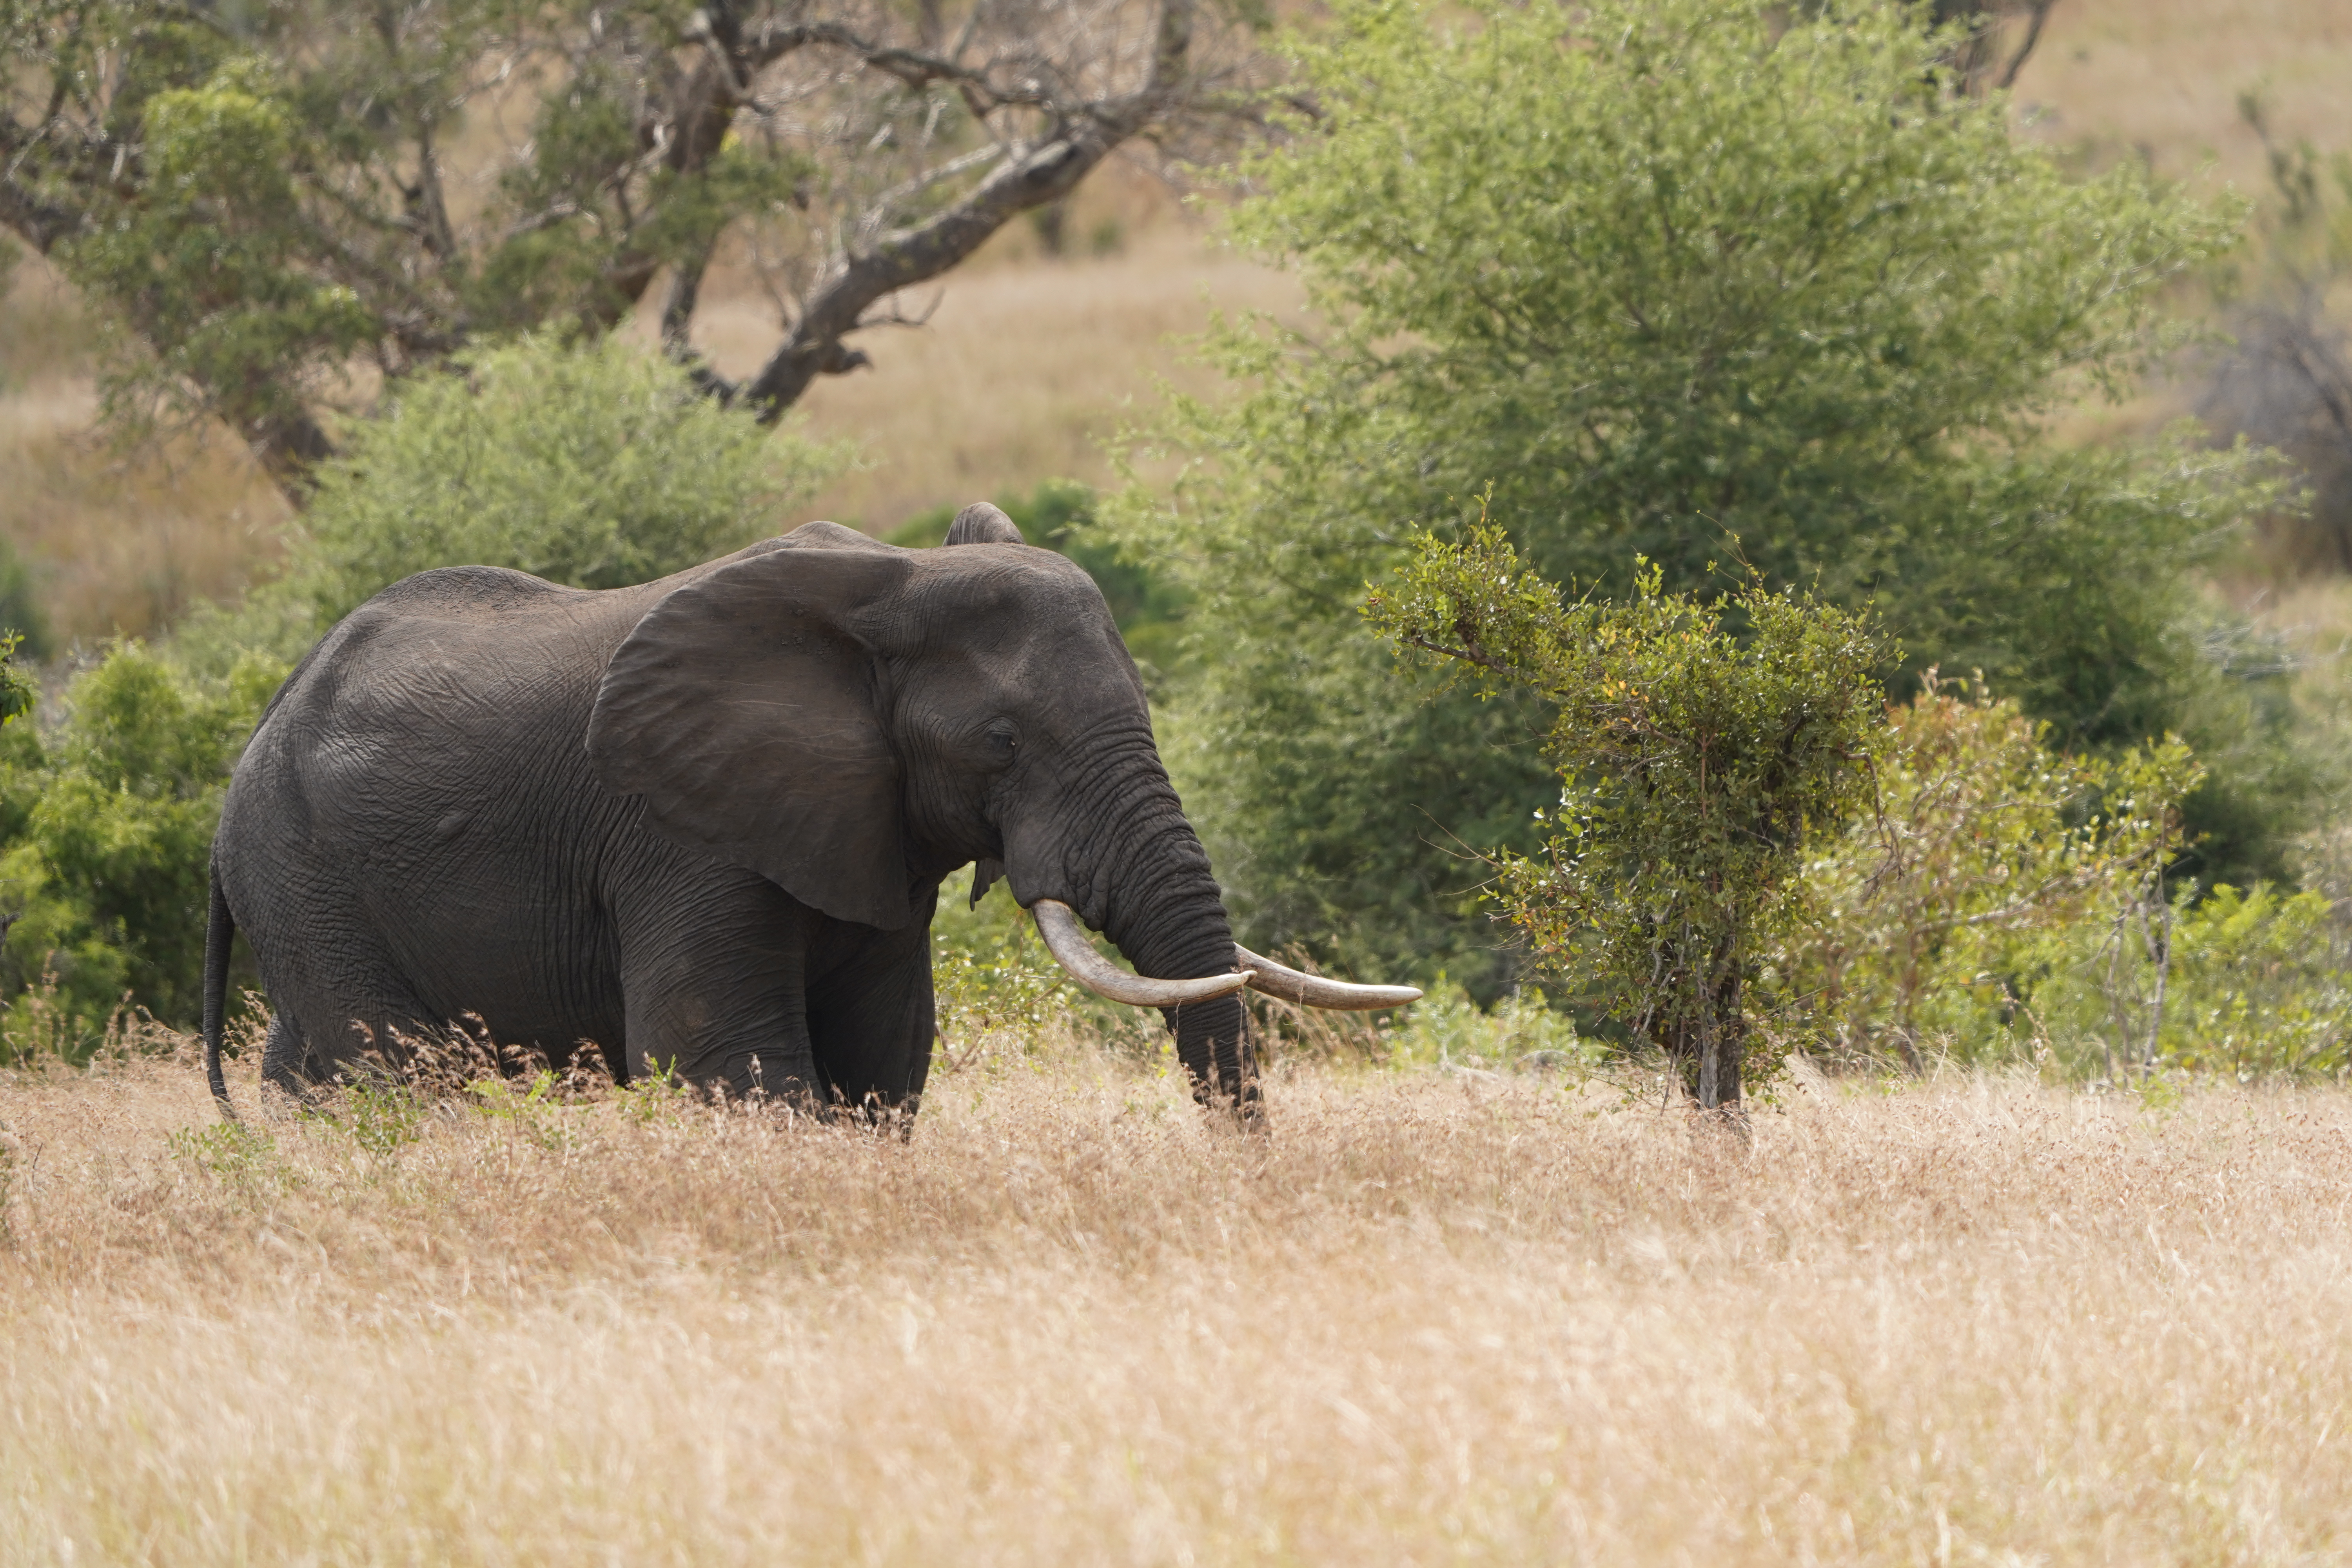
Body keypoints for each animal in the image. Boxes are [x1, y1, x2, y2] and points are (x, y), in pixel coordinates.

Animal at [199, 504, 1416, 1123]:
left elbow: (886, 1057)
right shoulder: (677, 833)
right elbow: (725, 1058)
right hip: (305, 871)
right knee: (395, 1077)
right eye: (1002, 743)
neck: (891, 578)